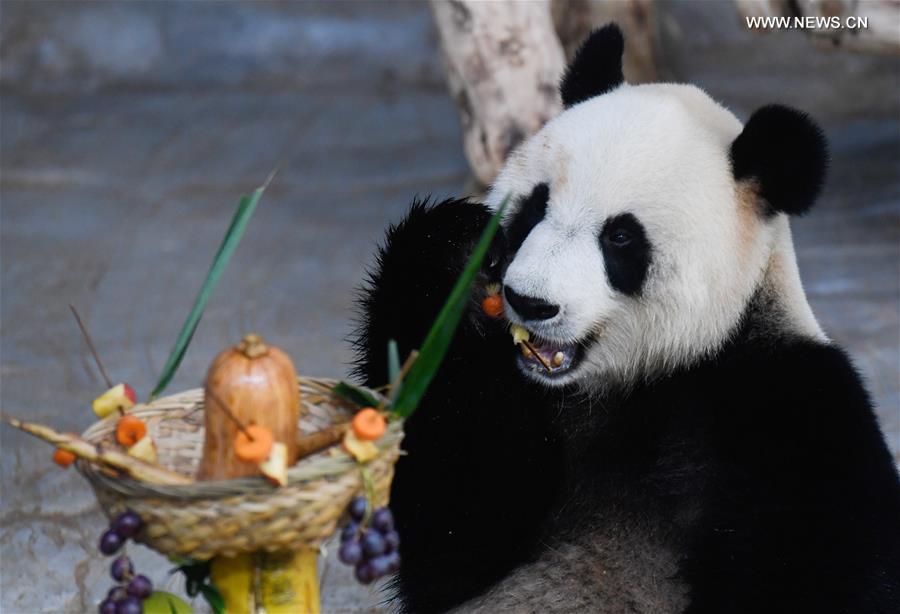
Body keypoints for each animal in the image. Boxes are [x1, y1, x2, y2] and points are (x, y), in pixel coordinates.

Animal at [352, 25, 900, 614]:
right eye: (535, 207)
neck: (635, 379)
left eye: (620, 237)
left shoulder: (789, 407)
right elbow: (451, 521)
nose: (529, 301)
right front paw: (455, 254)